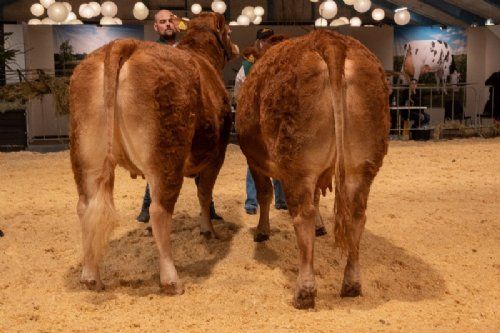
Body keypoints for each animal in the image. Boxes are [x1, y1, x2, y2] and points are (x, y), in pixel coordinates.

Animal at [70, 12, 238, 294]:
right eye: (228, 32)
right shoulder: (217, 153)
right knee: (161, 210)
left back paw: (91, 276)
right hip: (167, 154)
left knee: (86, 207)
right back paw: (171, 280)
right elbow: (205, 193)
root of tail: (124, 43)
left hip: (87, 156)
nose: (236, 47)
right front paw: (208, 230)